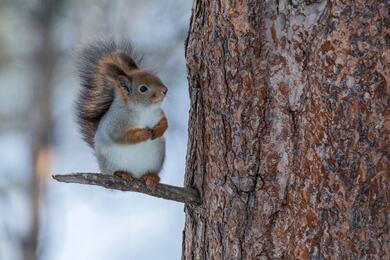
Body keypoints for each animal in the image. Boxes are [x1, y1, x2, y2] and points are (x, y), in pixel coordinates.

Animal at [76, 39, 168, 188]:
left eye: (156, 76)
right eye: (143, 88)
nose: (165, 90)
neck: (142, 109)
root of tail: (136, 174)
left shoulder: (159, 113)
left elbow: (165, 122)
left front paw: (159, 130)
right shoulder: (115, 123)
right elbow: (122, 136)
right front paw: (145, 133)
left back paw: (151, 176)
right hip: (111, 162)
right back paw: (122, 173)